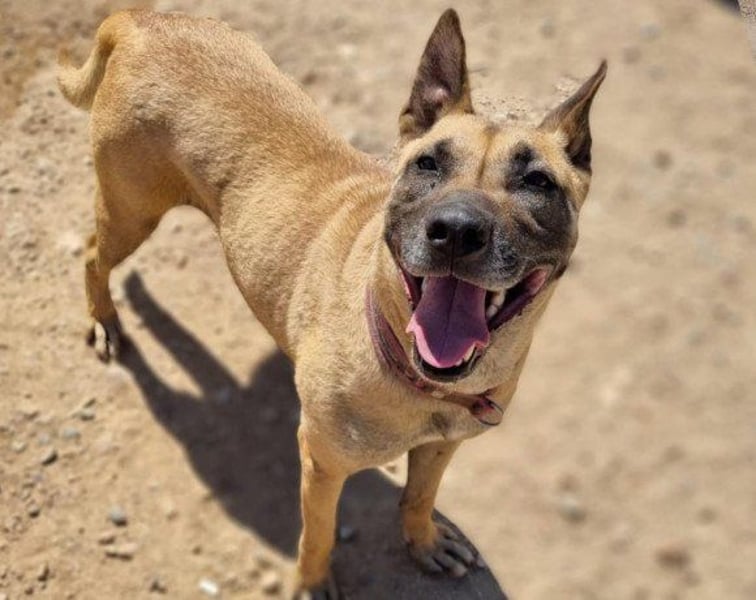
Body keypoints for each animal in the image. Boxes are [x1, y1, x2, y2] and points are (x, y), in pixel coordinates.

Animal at [59, 8, 605, 597]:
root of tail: (142, 19)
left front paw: (424, 541)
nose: (457, 230)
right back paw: (105, 322)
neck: (413, 373)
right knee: (91, 256)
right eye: (428, 164)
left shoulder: (442, 446)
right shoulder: (322, 463)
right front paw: (313, 581)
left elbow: (420, 496)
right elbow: (318, 532)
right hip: (131, 212)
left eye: (538, 181)